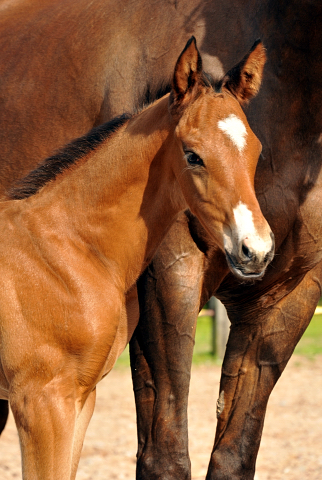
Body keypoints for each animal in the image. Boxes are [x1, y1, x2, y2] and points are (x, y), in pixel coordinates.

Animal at [0, 0, 320, 480]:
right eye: (193, 155)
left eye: (256, 151)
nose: (257, 249)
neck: (64, 245)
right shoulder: (41, 400)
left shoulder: (80, 398)